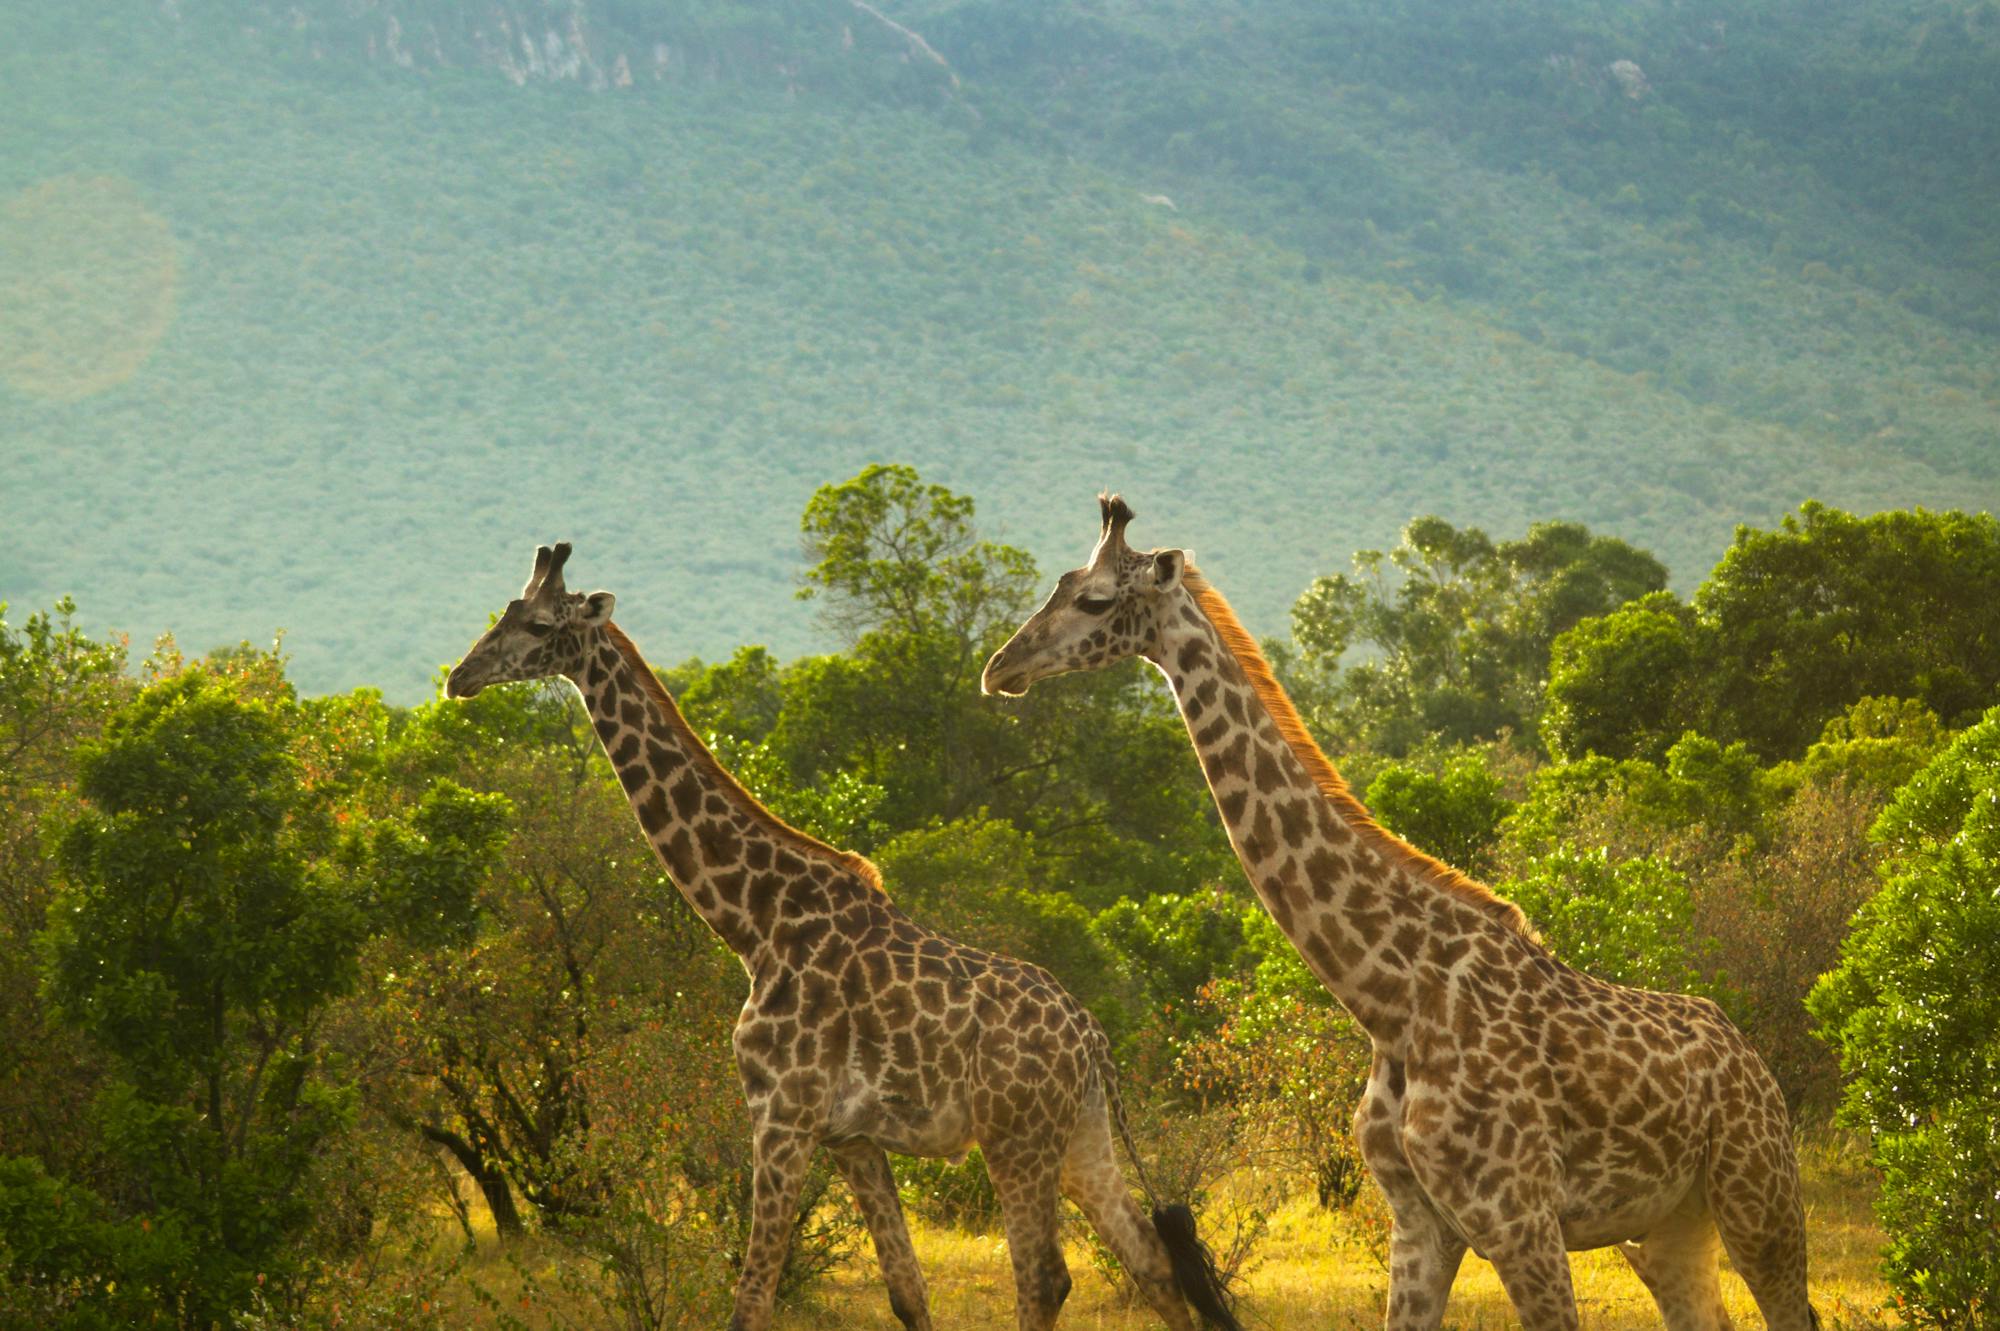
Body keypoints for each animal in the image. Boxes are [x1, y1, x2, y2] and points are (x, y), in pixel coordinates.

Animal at [445, 542, 1241, 1331]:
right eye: (505, 609)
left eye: (539, 624)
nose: (460, 675)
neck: (754, 922)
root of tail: (1092, 1040)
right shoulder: (851, 1137)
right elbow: (907, 1291)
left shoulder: (782, 1117)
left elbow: (752, 1297)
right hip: (1080, 1137)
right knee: (1153, 1263)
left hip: (1016, 1137)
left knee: (1047, 1277)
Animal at [981, 497, 1816, 1331]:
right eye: (1059, 584)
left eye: (1094, 599)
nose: (1000, 668)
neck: (1395, 999)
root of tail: (1752, 1058)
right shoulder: (1419, 1224)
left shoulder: (1522, 1220)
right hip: (1670, 1225)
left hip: (1760, 1197)